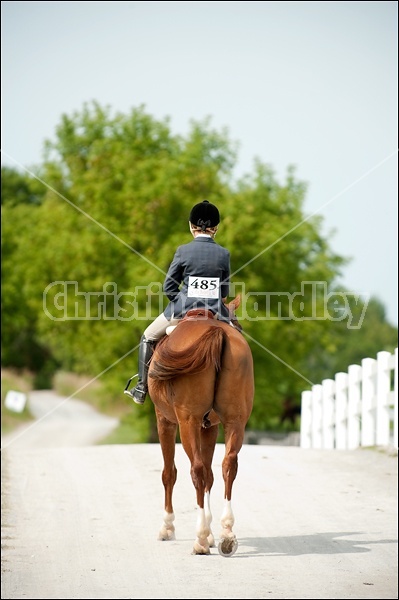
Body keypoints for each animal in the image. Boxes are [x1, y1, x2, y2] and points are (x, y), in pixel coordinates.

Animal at [148, 296, 255, 556]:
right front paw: (212, 534)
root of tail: (217, 331)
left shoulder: (164, 420)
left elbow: (169, 473)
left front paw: (168, 528)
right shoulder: (210, 426)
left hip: (187, 422)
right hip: (235, 420)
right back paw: (227, 534)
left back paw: (199, 540)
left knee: (194, 469)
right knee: (228, 465)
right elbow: (210, 475)